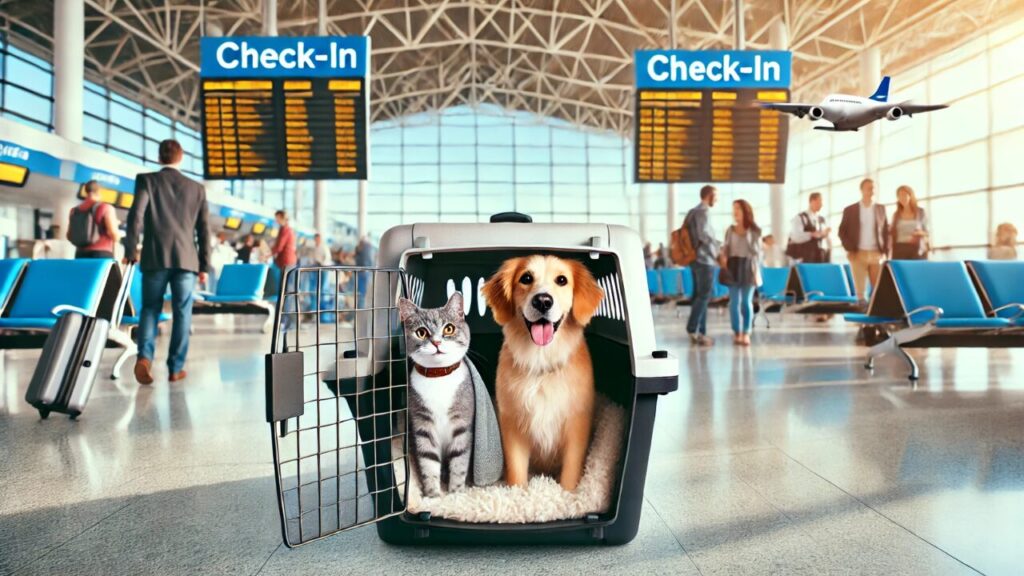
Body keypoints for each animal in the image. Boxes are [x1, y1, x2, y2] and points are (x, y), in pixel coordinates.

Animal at [401, 291, 477, 494]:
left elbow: (459, 459)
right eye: (421, 332)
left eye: (449, 329)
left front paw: (456, 493)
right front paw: (433, 494)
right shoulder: (422, 423)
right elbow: (428, 460)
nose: (436, 342)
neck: (438, 377)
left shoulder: (462, 422)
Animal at [483, 255, 602, 487]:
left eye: (562, 280)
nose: (543, 301)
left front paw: (567, 493)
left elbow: (570, 472)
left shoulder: (577, 425)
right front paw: (518, 493)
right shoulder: (513, 425)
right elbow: (517, 473)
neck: (541, 359)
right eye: (526, 278)